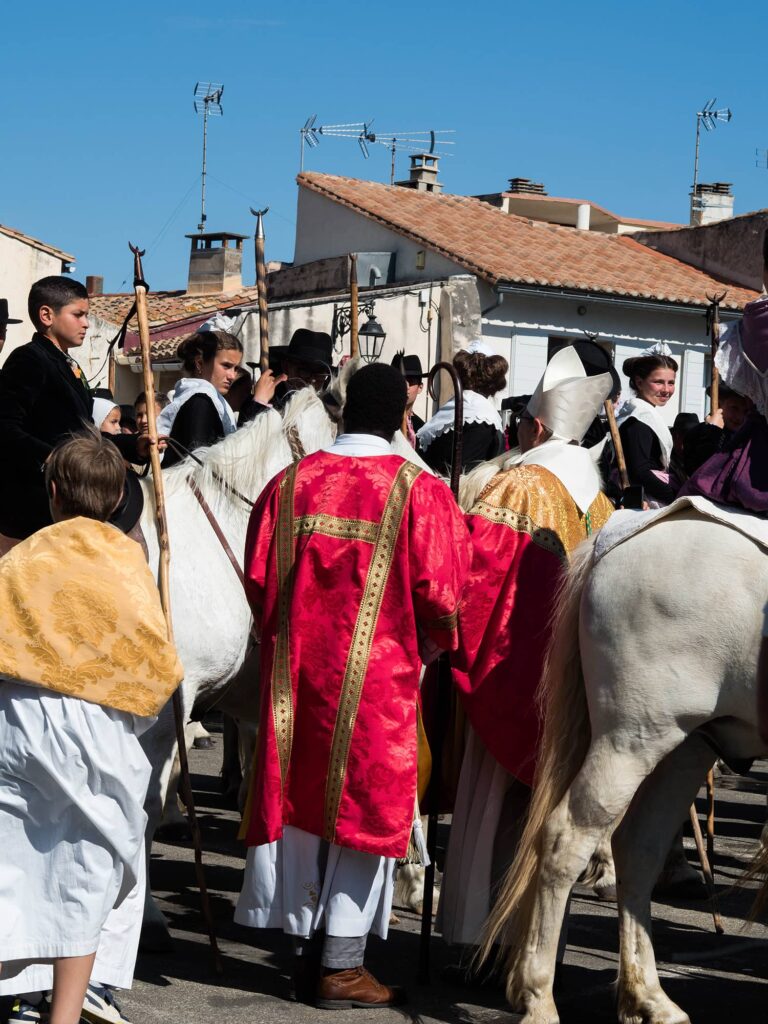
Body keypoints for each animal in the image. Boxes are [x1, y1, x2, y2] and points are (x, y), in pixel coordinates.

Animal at [481, 512, 768, 1024]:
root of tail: (626, 526)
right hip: (631, 738)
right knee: (567, 839)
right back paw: (537, 996)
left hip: (685, 747)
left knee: (639, 850)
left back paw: (648, 997)